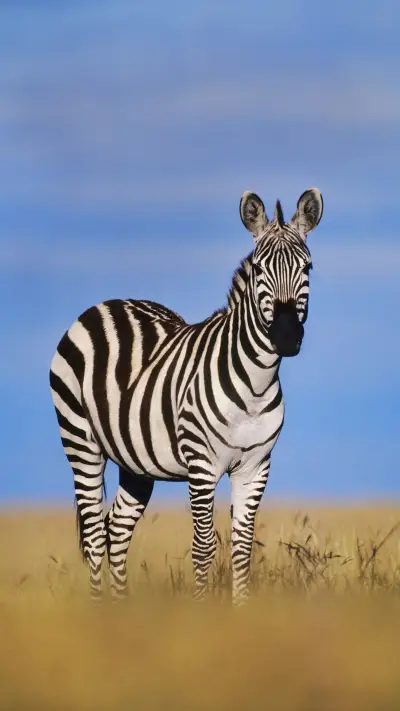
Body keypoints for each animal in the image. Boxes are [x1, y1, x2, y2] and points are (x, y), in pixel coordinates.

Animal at [49, 187, 323, 605]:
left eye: (307, 269)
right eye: (259, 270)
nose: (287, 336)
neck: (254, 385)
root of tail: (103, 305)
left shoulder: (255, 466)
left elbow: (242, 546)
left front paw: (242, 612)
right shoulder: (202, 465)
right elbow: (204, 546)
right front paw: (200, 612)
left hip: (135, 463)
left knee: (116, 532)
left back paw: (118, 613)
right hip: (80, 440)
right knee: (96, 535)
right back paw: (99, 610)